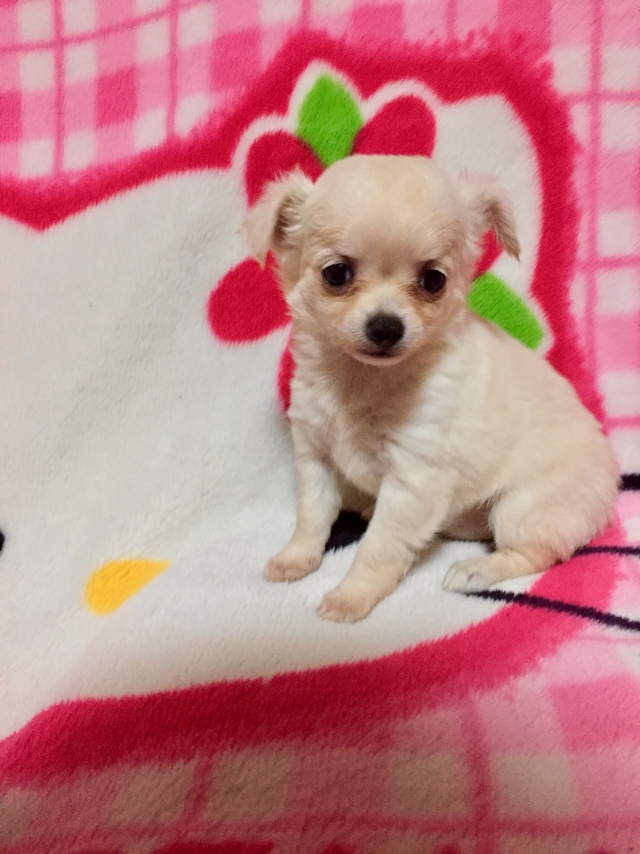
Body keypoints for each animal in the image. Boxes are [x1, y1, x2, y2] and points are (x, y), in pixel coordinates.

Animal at [243, 155, 619, 623]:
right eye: (336, 274)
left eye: (433, 281)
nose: (386, 327)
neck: (361, 380)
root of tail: (612, 483)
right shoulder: (316, 458)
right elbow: (311, 518)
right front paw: (296, 559)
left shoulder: (413, 480)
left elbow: (378, 548)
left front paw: (351, 597)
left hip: (524, 507)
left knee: (538, 552)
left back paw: (475, 570)